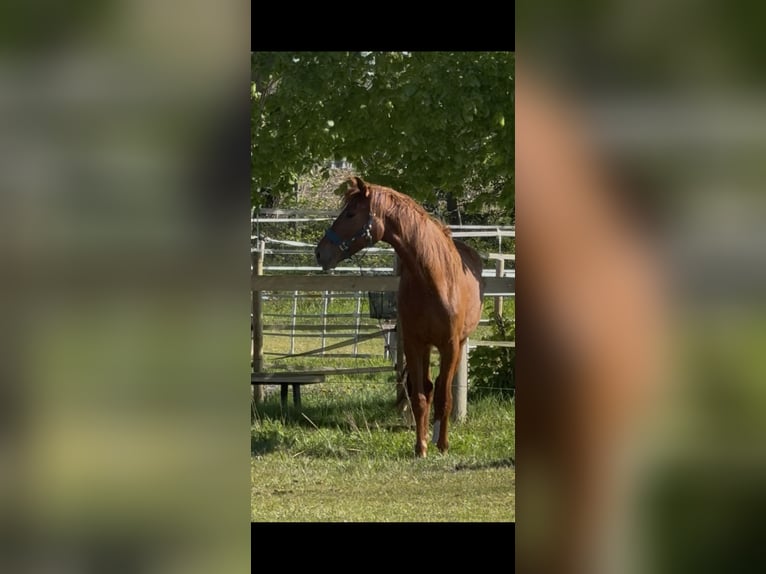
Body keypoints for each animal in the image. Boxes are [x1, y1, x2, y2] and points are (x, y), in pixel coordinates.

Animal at [315, 177, 484, 457]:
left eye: (351, 213)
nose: (320, 253)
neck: (433, 279)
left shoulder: (449, 345)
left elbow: (444, 397)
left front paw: (442, 445)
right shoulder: (415, 344)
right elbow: (419, 397)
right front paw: (421, 447)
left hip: (457, 345)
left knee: (441, 388)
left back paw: (439, 437)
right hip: (426, 347)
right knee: (428, 386)